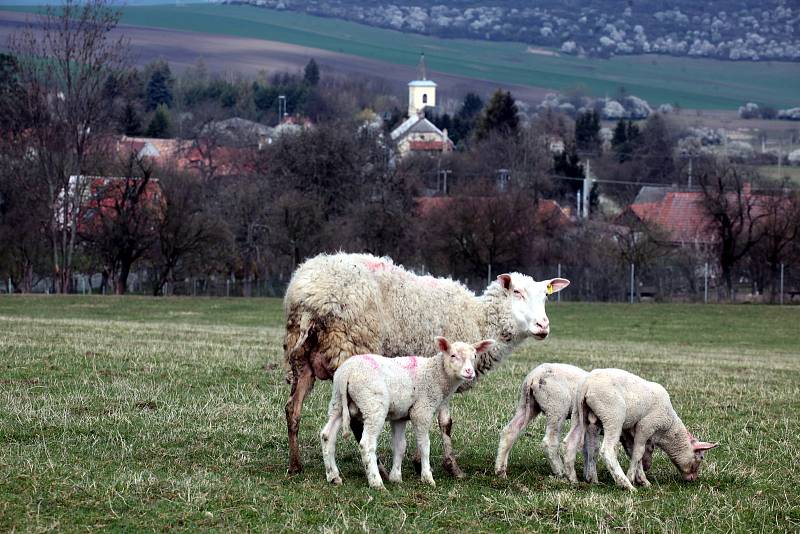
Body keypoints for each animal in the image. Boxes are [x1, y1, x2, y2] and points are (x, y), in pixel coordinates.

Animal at [318, 338, 494, 492]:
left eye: (475, 356)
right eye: (453, 355)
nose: (469, 372)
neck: (436, 374)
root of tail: (347, 372)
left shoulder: (399, 416)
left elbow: (400, 446)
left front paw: (396, 477)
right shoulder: (422, 411)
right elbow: (424, 446)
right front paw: (427, 477)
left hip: (338, 403)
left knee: (327, 435)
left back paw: (333, 476)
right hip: (373, 404)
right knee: (366, 444)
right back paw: (376, 483)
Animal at [490, 364, 652, 482]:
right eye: (651, 447)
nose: (647, 466)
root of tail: (534, 377)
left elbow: (587, 449)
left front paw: (589, 475)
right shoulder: (592, 426)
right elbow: (593, 449)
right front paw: (593, 478)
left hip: (527, 404)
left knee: (509, 431)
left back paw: (500, 470)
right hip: (556, 407)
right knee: (549, 441)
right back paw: (561, 472)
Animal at [564, 370, 720, 492]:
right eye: (701, 457)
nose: (693, 479)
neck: (668, 428)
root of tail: (587, 384)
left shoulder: (629, 432)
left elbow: (634, 452)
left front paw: (642, 479)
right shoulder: (645, 426)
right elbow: (638, 452)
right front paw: (633, 478)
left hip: (579, 414)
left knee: (571, 442)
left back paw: (573, 479)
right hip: (613, 415)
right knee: (607, 450)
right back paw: (625, 484)